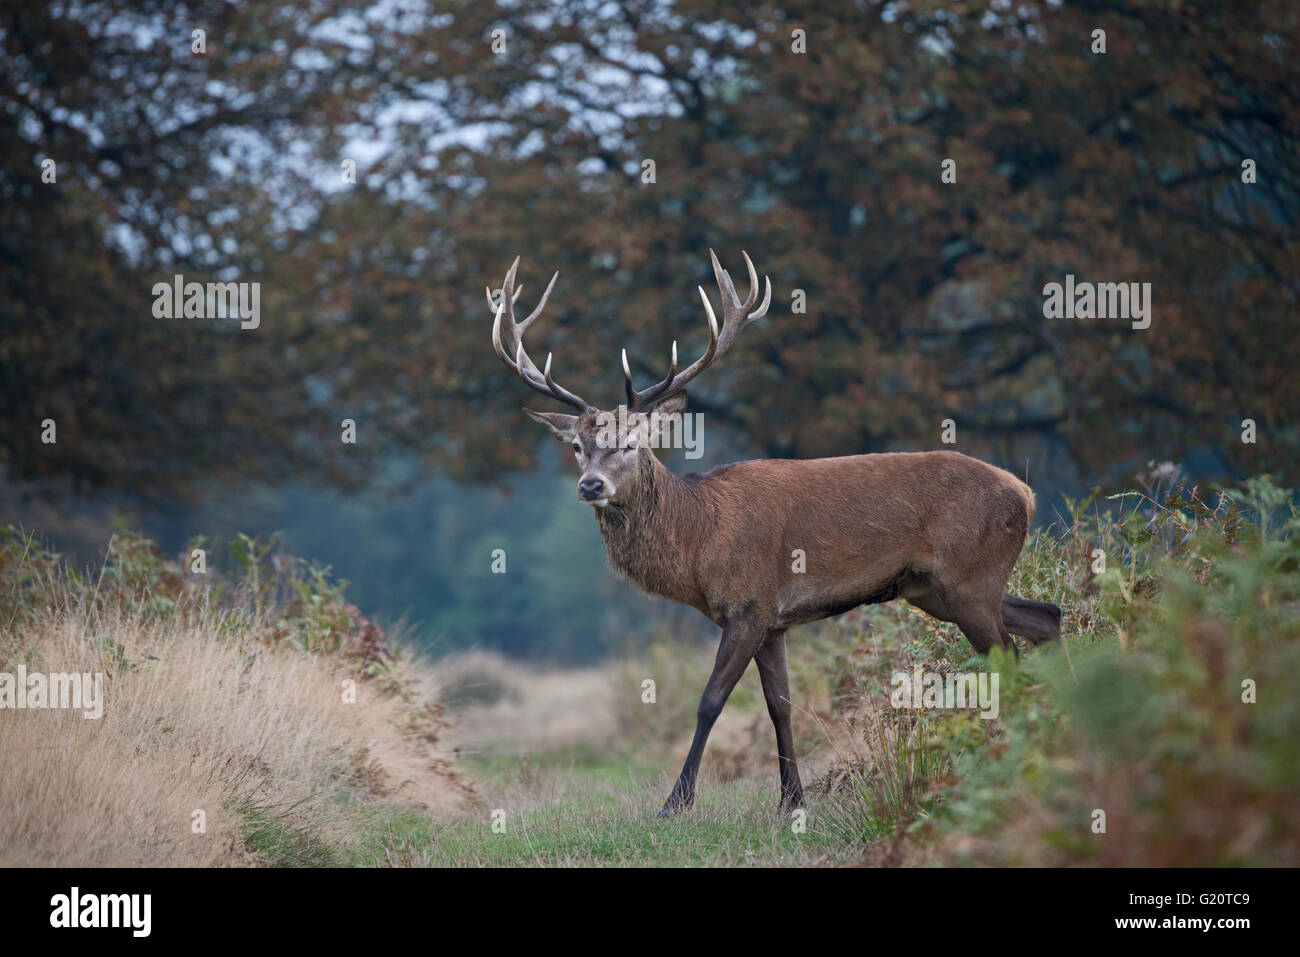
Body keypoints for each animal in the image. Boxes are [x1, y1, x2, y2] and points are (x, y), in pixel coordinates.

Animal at [487, 250, 1062, 817]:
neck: (700, 542)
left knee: (1009, 656)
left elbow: (711, 701)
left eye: (630, 443)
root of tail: (1026, 494)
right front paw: (790, 801)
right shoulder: (774, 622)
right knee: (1047, 617)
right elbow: (779, 706)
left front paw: (676, 803)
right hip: (937, 590)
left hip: (970, 577)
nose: (590, 485)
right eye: (577, 446)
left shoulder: (750, 604)